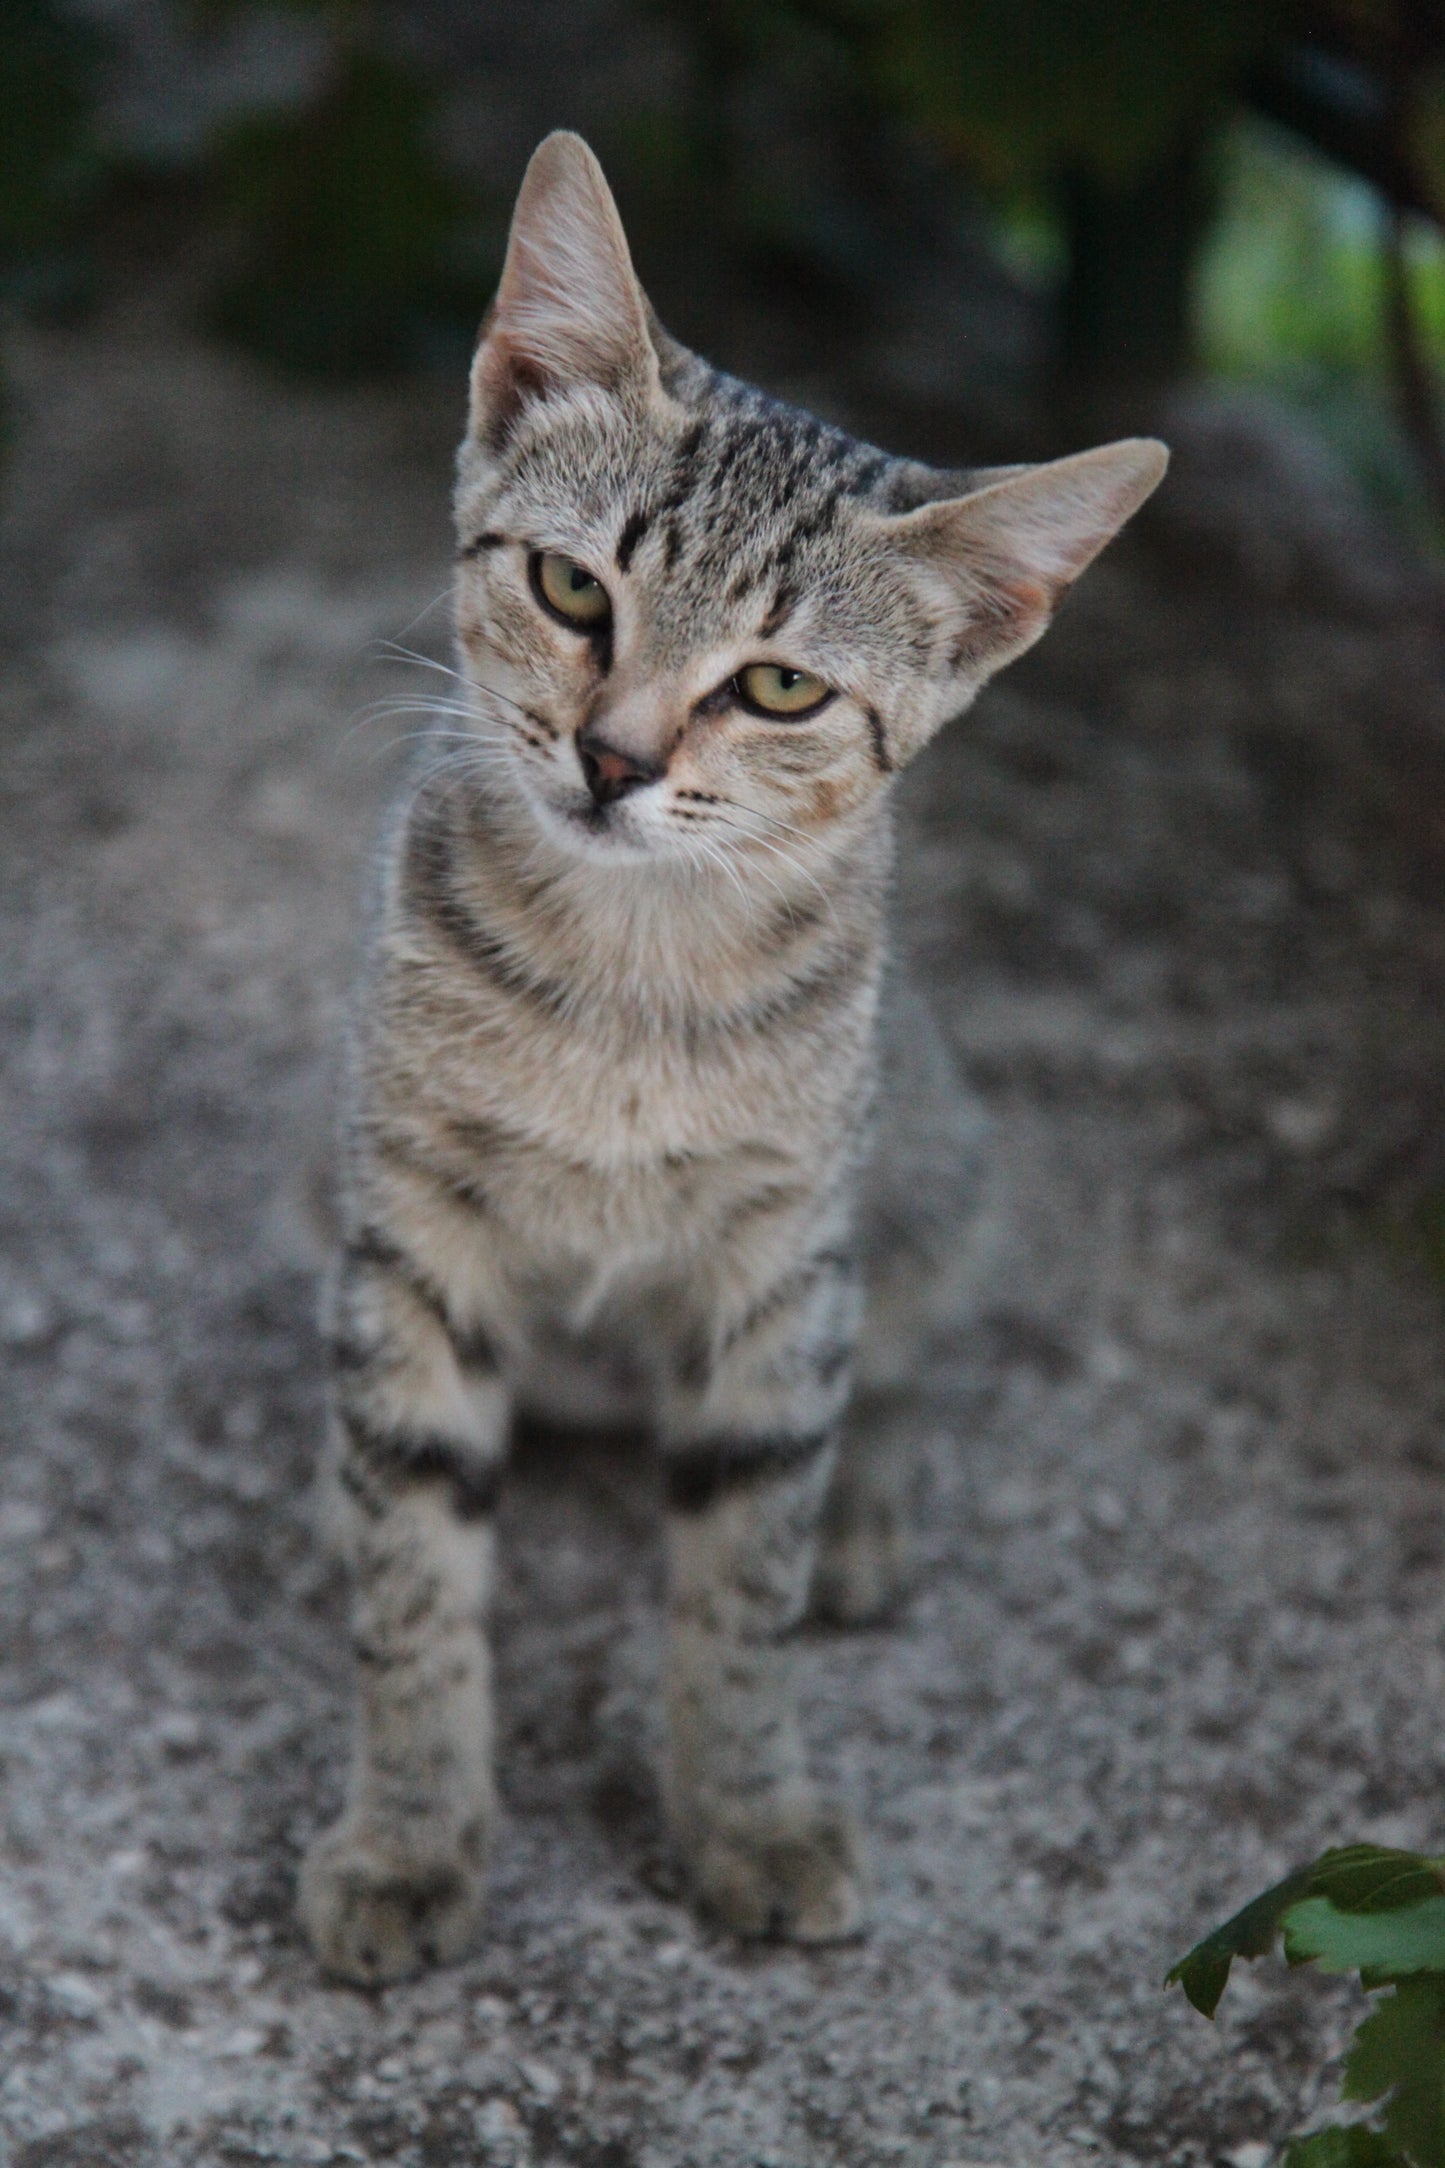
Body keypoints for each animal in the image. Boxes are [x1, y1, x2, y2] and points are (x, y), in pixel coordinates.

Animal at [298, 126, 1169, 1977]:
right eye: (573, 586)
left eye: (777, 689)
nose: (616, 759)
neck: (625, 982)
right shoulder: (410, 1227)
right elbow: (417, 1578)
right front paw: (409, 1833)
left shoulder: (780, 1263)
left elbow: (740, 1582)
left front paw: (747, 1813)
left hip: (929, 1180)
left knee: (896, 1363)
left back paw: (865, 1514)